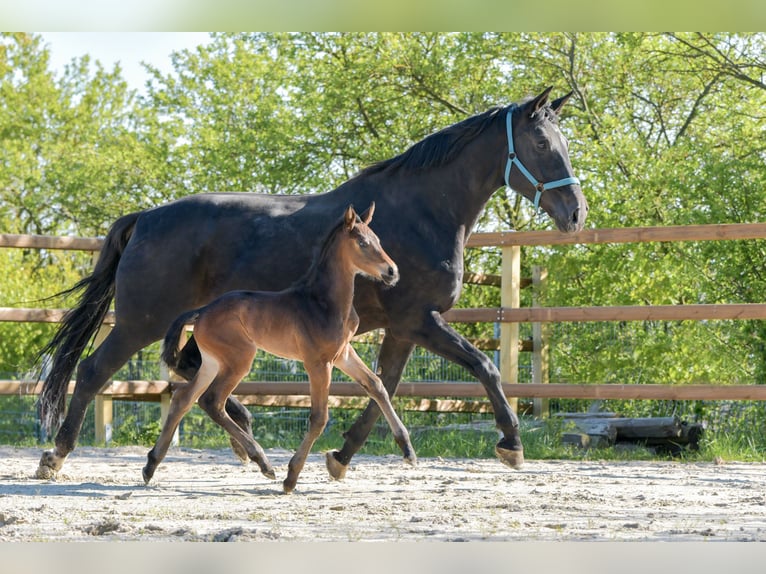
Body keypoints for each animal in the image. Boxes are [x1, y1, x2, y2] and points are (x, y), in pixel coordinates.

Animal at [141, 204, 416, 496]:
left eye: (378, 240)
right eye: (362, 243)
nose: (392, 272)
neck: (323, 302)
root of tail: (202, 311)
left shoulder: (342, 354)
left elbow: (376, 385)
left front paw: (408, 451)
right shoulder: (318, 362)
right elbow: (319, 417)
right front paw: (291, 477)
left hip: (213, 362)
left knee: (184, 398)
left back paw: (150, 465)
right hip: (239, 359)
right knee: (212, 401)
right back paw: (263, 462)